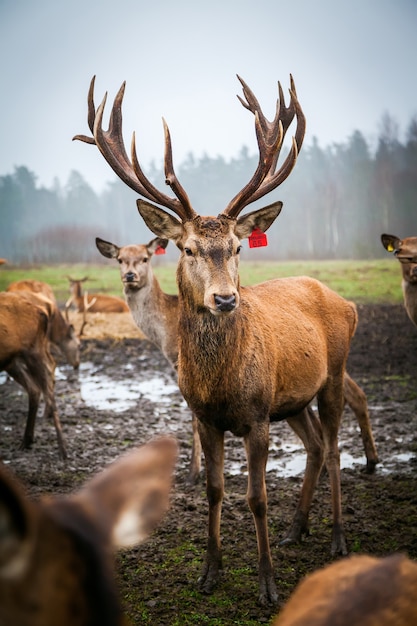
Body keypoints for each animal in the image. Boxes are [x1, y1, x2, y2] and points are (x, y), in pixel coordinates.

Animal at [0, 290, 66, 456]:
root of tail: (41, 311)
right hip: (12, 359)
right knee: (35, 388)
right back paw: (27, 440)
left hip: (32, 350)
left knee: (48, 372)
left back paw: (62, 449)